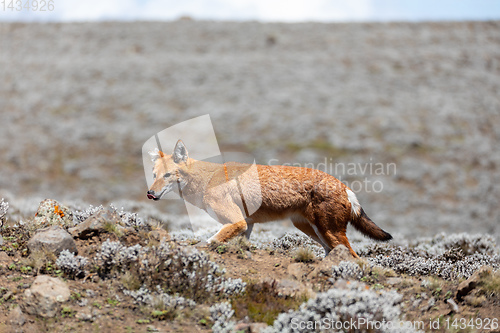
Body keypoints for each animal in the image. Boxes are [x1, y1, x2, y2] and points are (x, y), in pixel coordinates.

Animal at [146, 139, 392, 255]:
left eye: (167, 175)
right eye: (154, 175)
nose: (150, 193)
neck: (206, 179)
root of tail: (344, 185)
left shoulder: (238, 221)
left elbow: (210, 240)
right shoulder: (248, 225)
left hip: (328, 233)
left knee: (356, 258)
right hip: (313, 231)